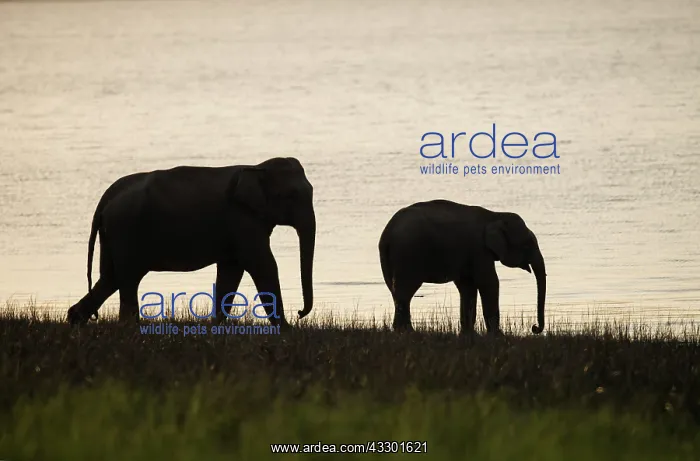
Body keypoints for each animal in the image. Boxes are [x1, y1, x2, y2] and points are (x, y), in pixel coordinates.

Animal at [66, 157, 316, 328]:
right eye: (292, 195)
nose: (299, 313)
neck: (257, 166)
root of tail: (106, 197)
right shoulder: (242, 220)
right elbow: (262, 264)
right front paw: (288, 331)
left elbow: (231, 270)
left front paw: (216, 328)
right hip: (125, 229)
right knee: (127, 278)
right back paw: (130, 328)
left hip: (112, 234)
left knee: (110, 278)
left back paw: (75, 321)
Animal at [378, 199, 546, 335]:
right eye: (527, 244)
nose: (534, 328)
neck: (495, 215)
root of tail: (387, 233)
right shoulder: (479, 250)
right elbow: (489, 283)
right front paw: (498, 336)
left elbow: (467, 286)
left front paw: (469, 335)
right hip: (408, 255)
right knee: (405, 291)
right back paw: (408, 332)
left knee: (396, 292)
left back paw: (402, 330)